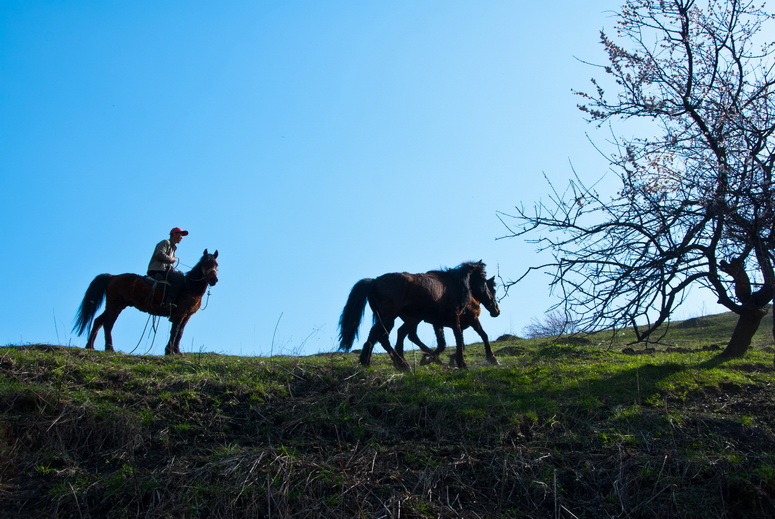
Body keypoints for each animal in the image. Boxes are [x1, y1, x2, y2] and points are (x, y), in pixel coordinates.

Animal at [73, 250, 218, 356]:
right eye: (205, 263)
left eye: (216, 264)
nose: (213, 280)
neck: (190, 286)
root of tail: (113, 277)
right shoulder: (179, 313)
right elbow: (175, 331)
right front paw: (170, 351)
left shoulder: (187, 315)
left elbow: (180, 333)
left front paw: (176, 351)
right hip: (116, 306)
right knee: (108, 324)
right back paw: (109, 348)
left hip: (112, 305)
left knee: (98, 320)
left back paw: (90, 346)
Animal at [342, 264, 504, 370]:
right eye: (491, 287)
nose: (496, 311)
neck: (455, 287)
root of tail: (374, 281)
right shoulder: (459, 319)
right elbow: (464, 338)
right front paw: (464, 362)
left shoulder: (440, 322)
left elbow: (447, 343)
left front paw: (436, 359)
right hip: (390, 317)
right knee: (384, 336)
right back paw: (401, 364)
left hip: (395, 318)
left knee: (384, 335)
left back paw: (371, 362)